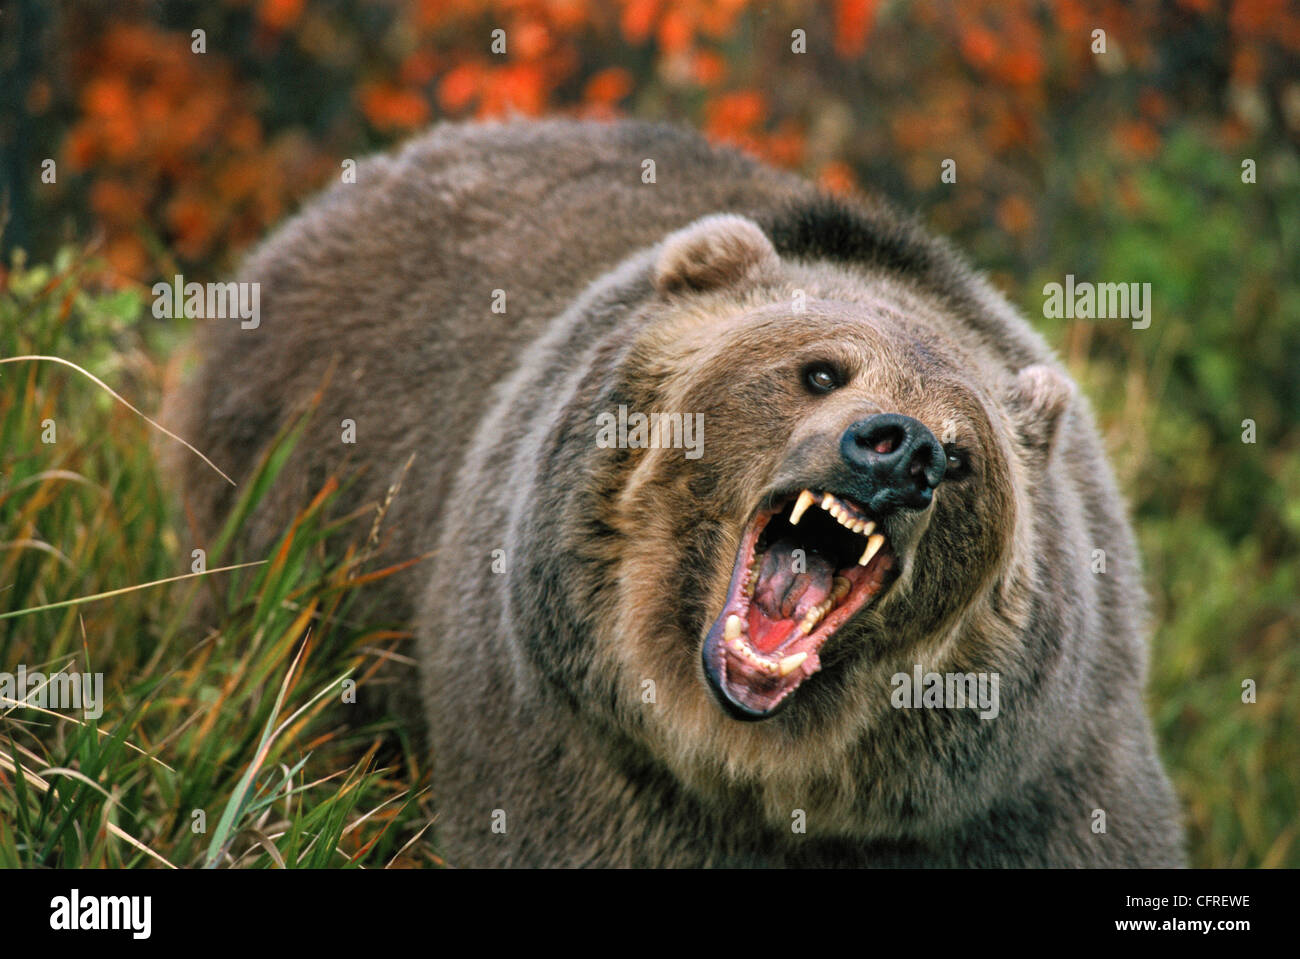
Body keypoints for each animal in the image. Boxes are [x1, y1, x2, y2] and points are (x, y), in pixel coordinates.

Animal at [167, 115, 1185, 862]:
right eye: (821, 369)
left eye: (967, 457)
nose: (904, 452)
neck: (755, 771)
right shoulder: (572, 750)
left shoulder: (1024, 792)